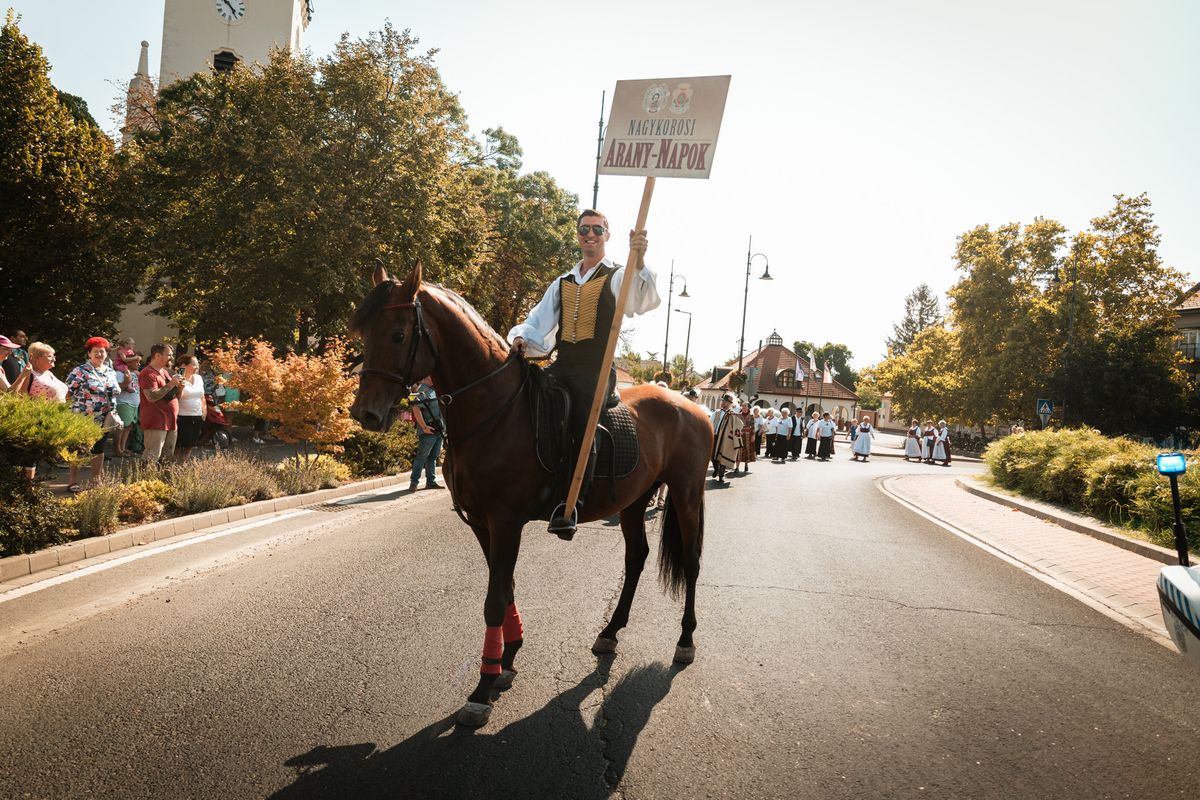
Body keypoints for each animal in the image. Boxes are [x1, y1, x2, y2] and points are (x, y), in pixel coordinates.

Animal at [348, 262, 710, 724]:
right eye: (364, 333)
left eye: (397, 334)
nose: (366, 414)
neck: (494, 412)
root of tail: (693, 406)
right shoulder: (482, 523)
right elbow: (506, 590)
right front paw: (507, 660)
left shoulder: (505, 522)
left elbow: (494, 598)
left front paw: (483, 687)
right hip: (633, 500)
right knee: (636, 559)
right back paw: (610, 631)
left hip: (685, 494)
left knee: (691, 562)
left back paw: (685, 640)